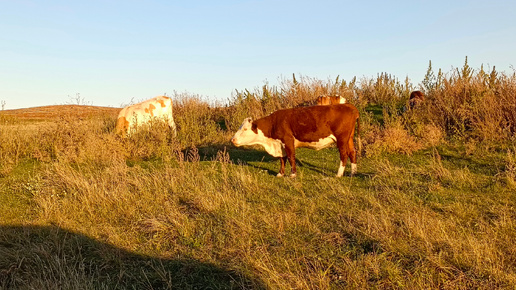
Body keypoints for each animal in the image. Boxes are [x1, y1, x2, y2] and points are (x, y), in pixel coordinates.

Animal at [232, 103, 360, 178]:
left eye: (245, 129)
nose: (233, 139)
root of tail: (349, 105)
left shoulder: (288, 140)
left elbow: (291, 157)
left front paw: (293, 174)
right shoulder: (280, 144)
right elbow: (282, 159)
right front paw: (280, 174)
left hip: (341, 138)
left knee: (344, 154)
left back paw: (339, 174)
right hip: (349, 138)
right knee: (352, 152)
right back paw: (353, 172)